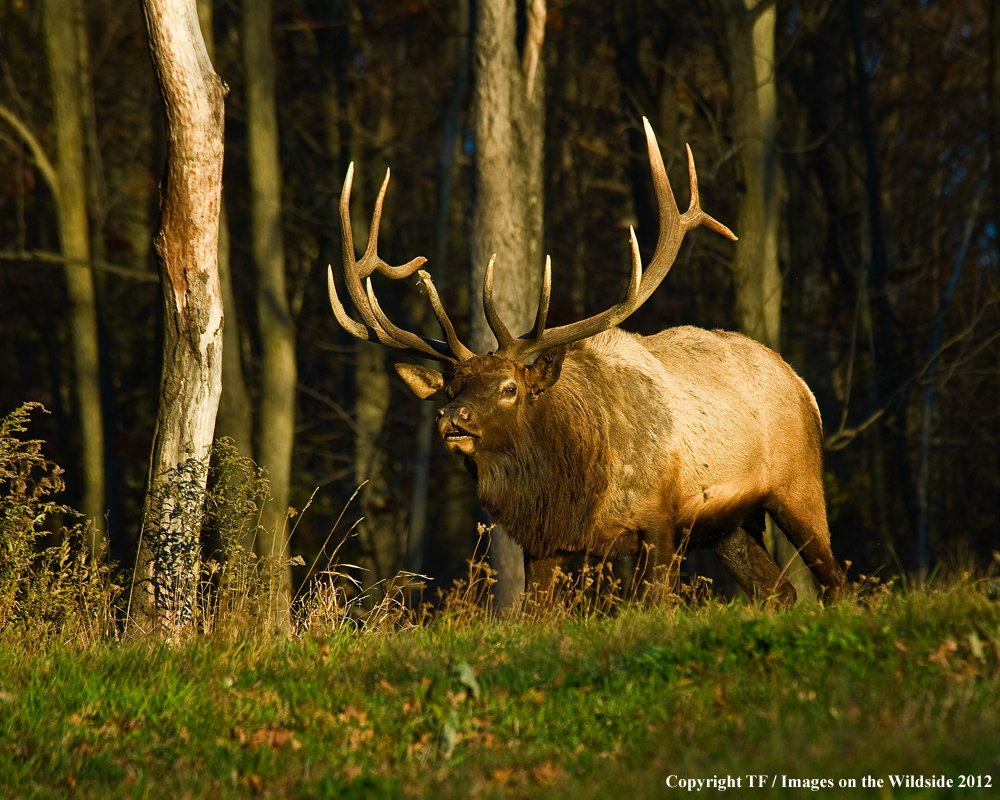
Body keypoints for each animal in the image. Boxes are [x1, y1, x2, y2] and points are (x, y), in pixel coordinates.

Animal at [328, 119, 844, 604]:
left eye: (510, 388)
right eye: (451, 387)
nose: (453, 418)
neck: (573, 492)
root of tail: (805, 388)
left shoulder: (661, 519)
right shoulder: (542, 545)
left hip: (798, 485)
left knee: (836, 581)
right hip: (730, 527)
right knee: (781, 591)